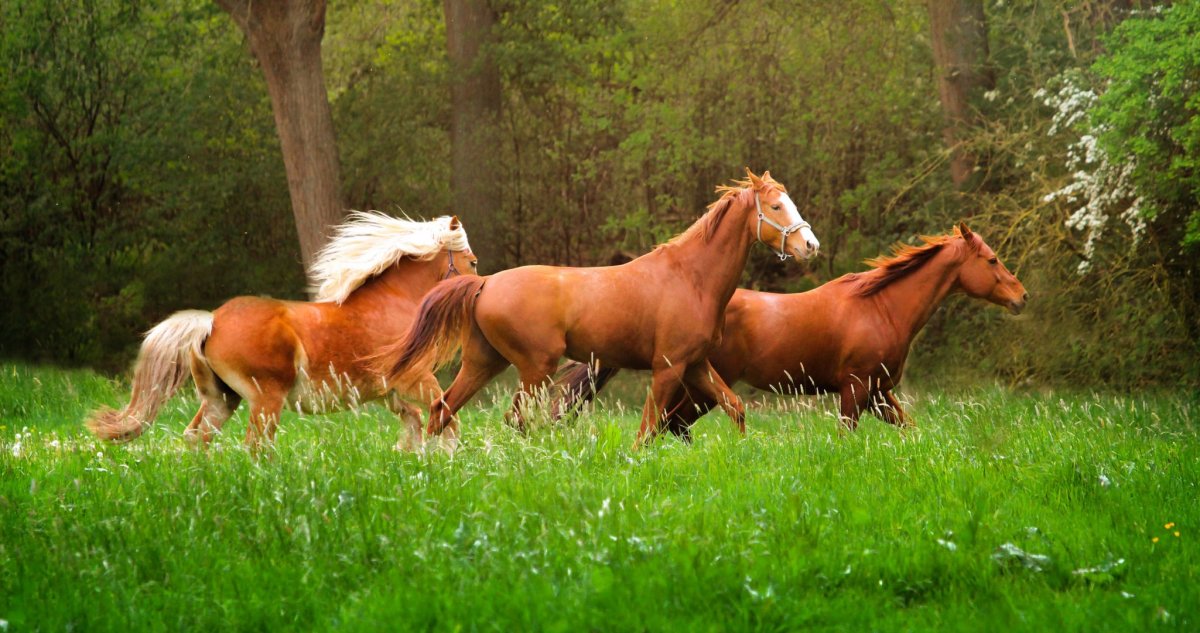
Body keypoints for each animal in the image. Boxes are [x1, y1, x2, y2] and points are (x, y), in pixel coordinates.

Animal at [87, 213, 478, 452]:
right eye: (472, 262)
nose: (479, 289)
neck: (390, 306)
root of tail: (211, 321)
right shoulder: (415, 380)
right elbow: (444, 417)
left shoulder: (389, 393)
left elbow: (415, 424)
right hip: (265, 400)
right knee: (256, 447)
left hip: (221, 399)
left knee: (197, 438)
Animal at [378, 170, 820, 448]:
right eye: (776, 207)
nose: (809, 246)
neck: (690, 277)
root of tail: (485, 283)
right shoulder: (667, 367)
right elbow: (647, 430)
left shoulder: (695, 364)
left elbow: (736, 408)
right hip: (536, 367)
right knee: (515, 418)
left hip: (486, 362)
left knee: (444, 409)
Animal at [552, 222, 1028, 437]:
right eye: (991, 260)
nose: (1022, 296)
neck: (882, 308)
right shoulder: (856, 389)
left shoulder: (879, 392)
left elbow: (911, 430)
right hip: (696, 385)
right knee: (670, 423)